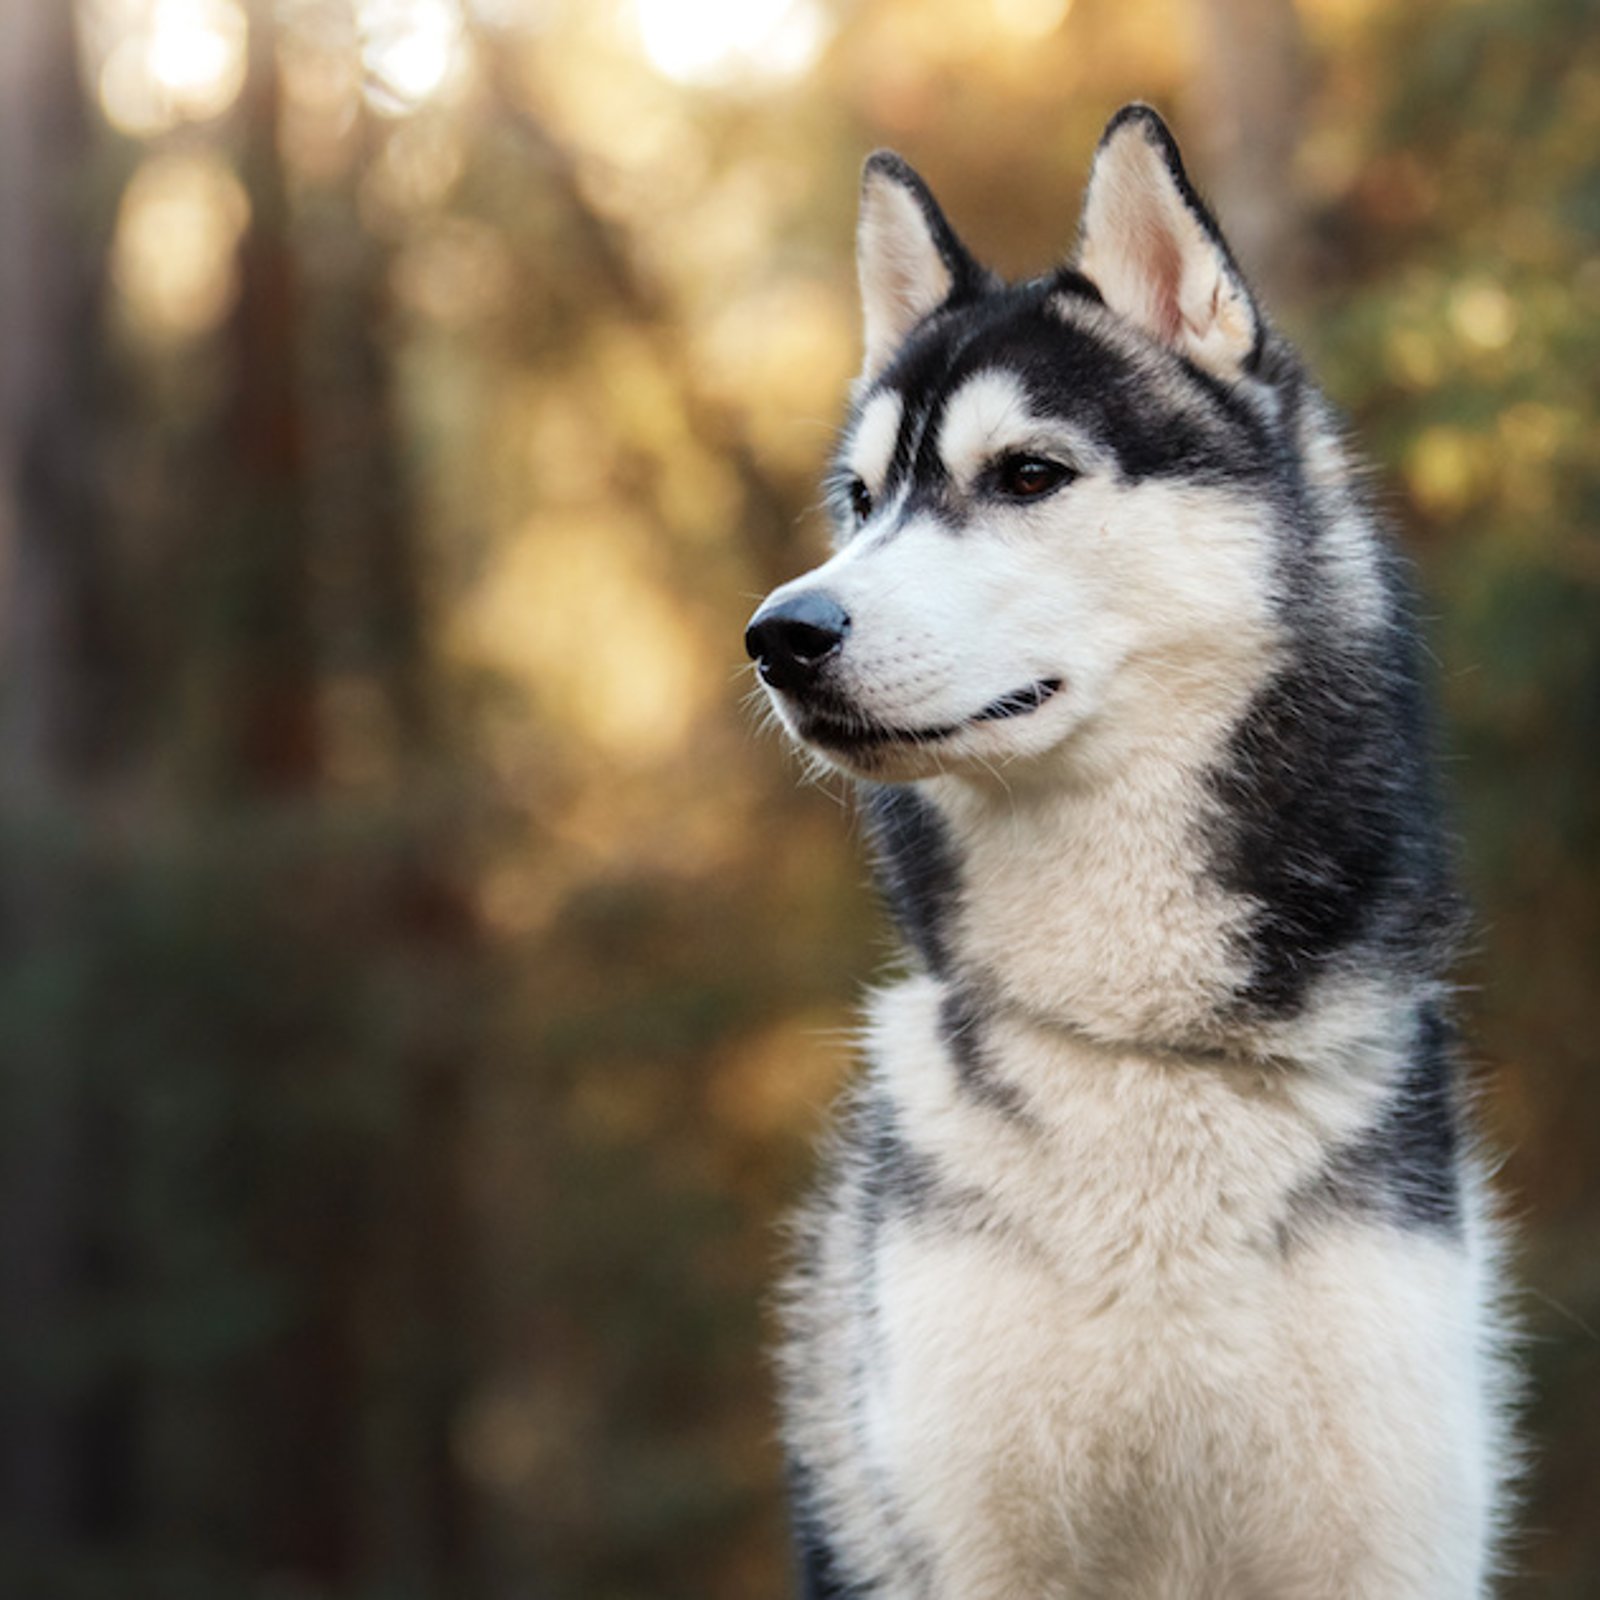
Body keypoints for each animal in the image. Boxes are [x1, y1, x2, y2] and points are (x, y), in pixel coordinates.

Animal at [742, 106, 1516, 1600]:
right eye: (859, 501)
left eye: (1027, 474)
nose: (781, 635)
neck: (1145, 1047)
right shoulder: (976, 1537)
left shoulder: (1386, 1531)